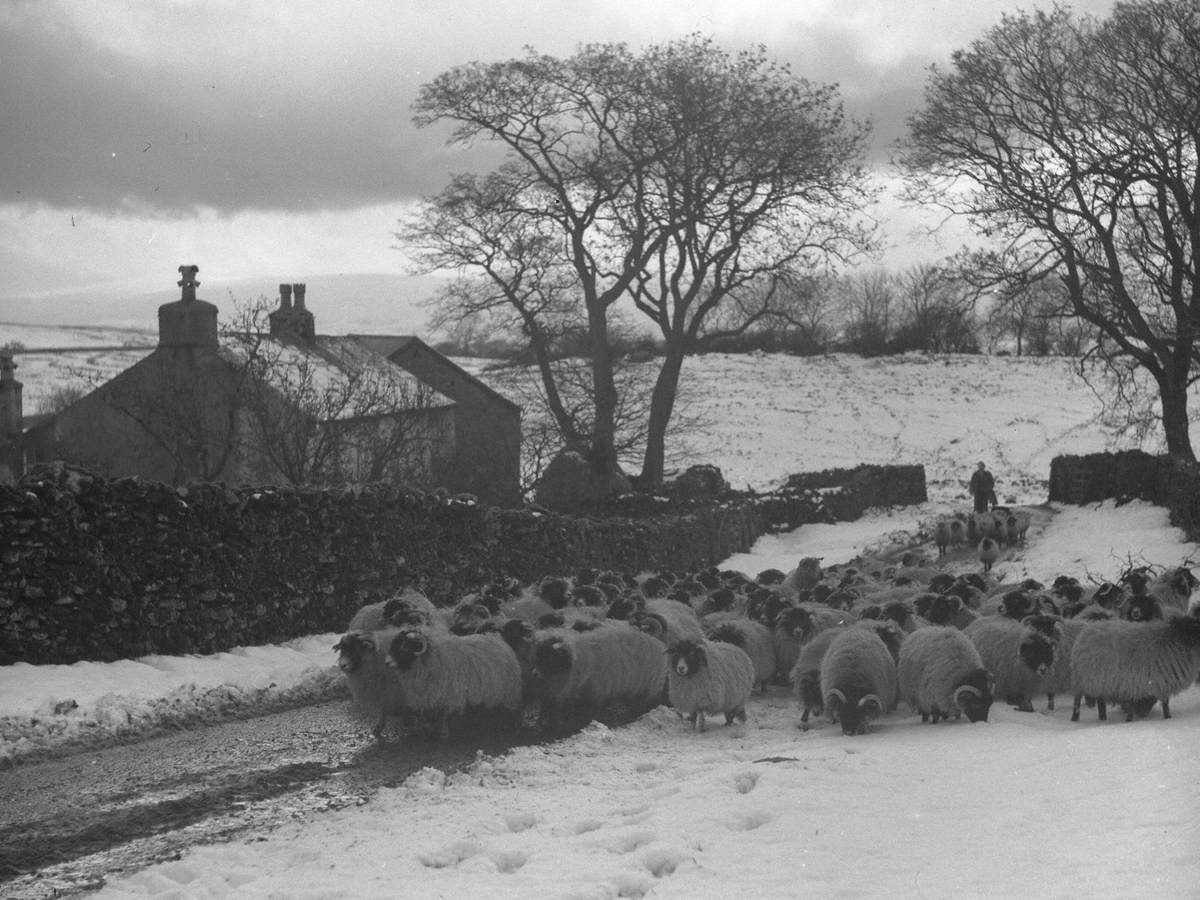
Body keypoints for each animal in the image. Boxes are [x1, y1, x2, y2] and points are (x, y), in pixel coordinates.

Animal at [379, 628, 520, 739]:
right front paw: (431, 728)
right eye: (393, 644)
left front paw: (443, 732)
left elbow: (443, 713)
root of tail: (498, 640)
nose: (387, 662)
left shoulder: (448, 694)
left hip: (506, 691)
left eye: (404, 646)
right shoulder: (431, 695)